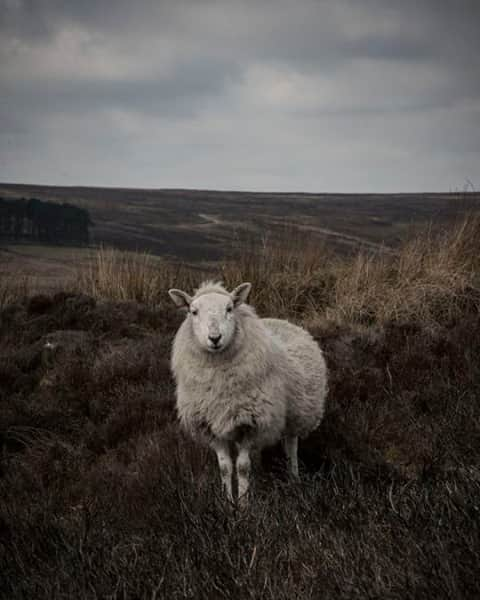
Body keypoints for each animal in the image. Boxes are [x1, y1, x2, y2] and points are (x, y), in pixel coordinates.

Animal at [167, 282, 328, 506]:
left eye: (229, 309)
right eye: (193, 312)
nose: (214, 338)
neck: (219, 385)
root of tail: (282, 320)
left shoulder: (249, 423)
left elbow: (242, 468)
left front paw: (243, 505)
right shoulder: (211, 426)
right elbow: (225, 468)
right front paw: (228, 503)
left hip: (298, 412)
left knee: (291, 446)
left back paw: (293, 478)